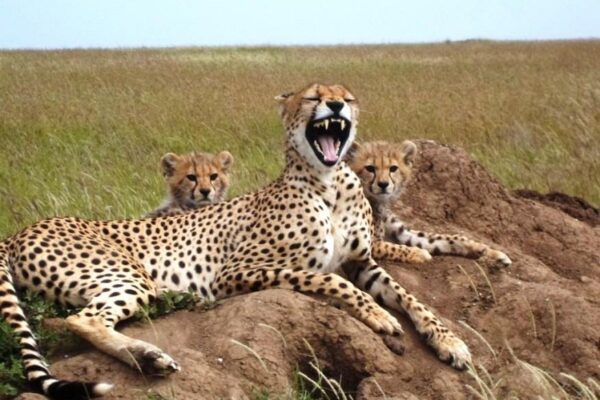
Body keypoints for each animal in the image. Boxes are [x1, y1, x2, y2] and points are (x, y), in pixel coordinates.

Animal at [0, 83, 468, 398]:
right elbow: (333, 281)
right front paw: (378, 316)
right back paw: (149, 357)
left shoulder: (362, 262)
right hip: (126, 275)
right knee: (83, 319)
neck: (331, 182)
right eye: (313, 97)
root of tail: (20, 230)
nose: (336, 105)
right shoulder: (235, 272)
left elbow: (411, 298)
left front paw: (450, 342)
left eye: (347, 98)